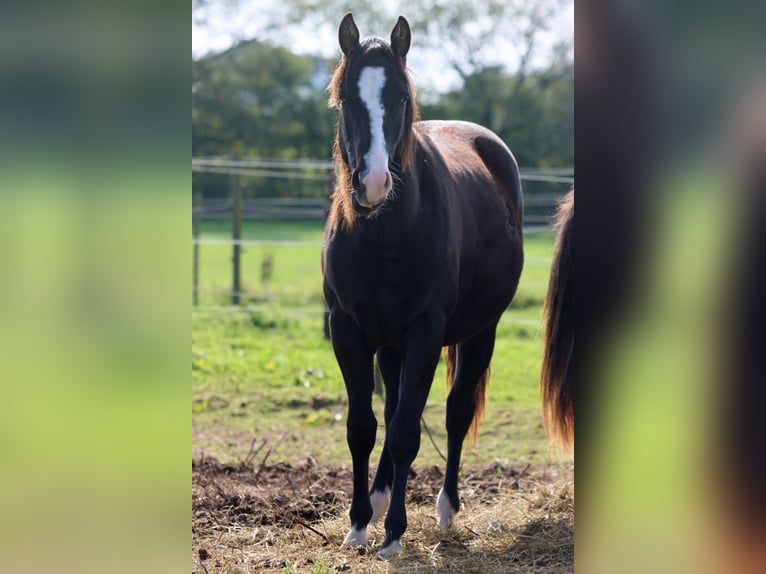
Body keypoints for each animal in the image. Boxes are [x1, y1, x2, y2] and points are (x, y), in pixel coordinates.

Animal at [321, 13, 524, 557]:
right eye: (345, 98)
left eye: (400, 99)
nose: (371, 184)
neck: (384, 235)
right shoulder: (348, 330)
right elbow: (363, 428)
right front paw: (359, 522)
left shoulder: (425, 333)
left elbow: (408, 432)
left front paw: (394, 533)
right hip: (390, 345)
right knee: (390, 410)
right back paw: (380, 499)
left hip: (480, 333)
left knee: (454, 414)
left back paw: (445, 509)